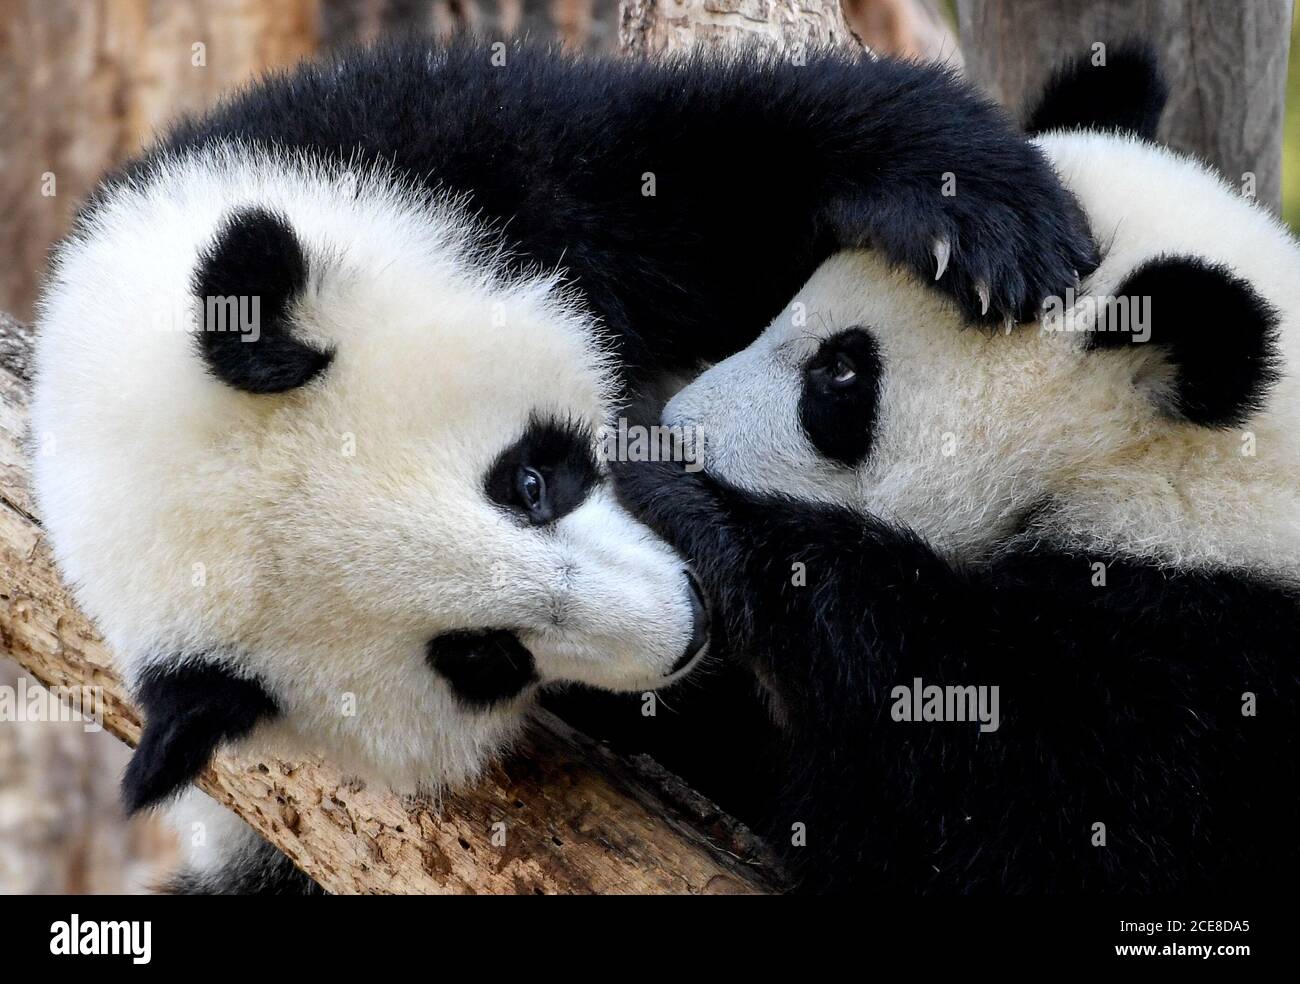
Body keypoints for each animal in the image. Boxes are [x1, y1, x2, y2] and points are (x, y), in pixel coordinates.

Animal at [29, 38, 1094, 892]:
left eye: (527, 483)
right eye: (481, 657)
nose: (688, 622)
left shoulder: (406, 154)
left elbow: (685, 164)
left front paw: (978, 215)